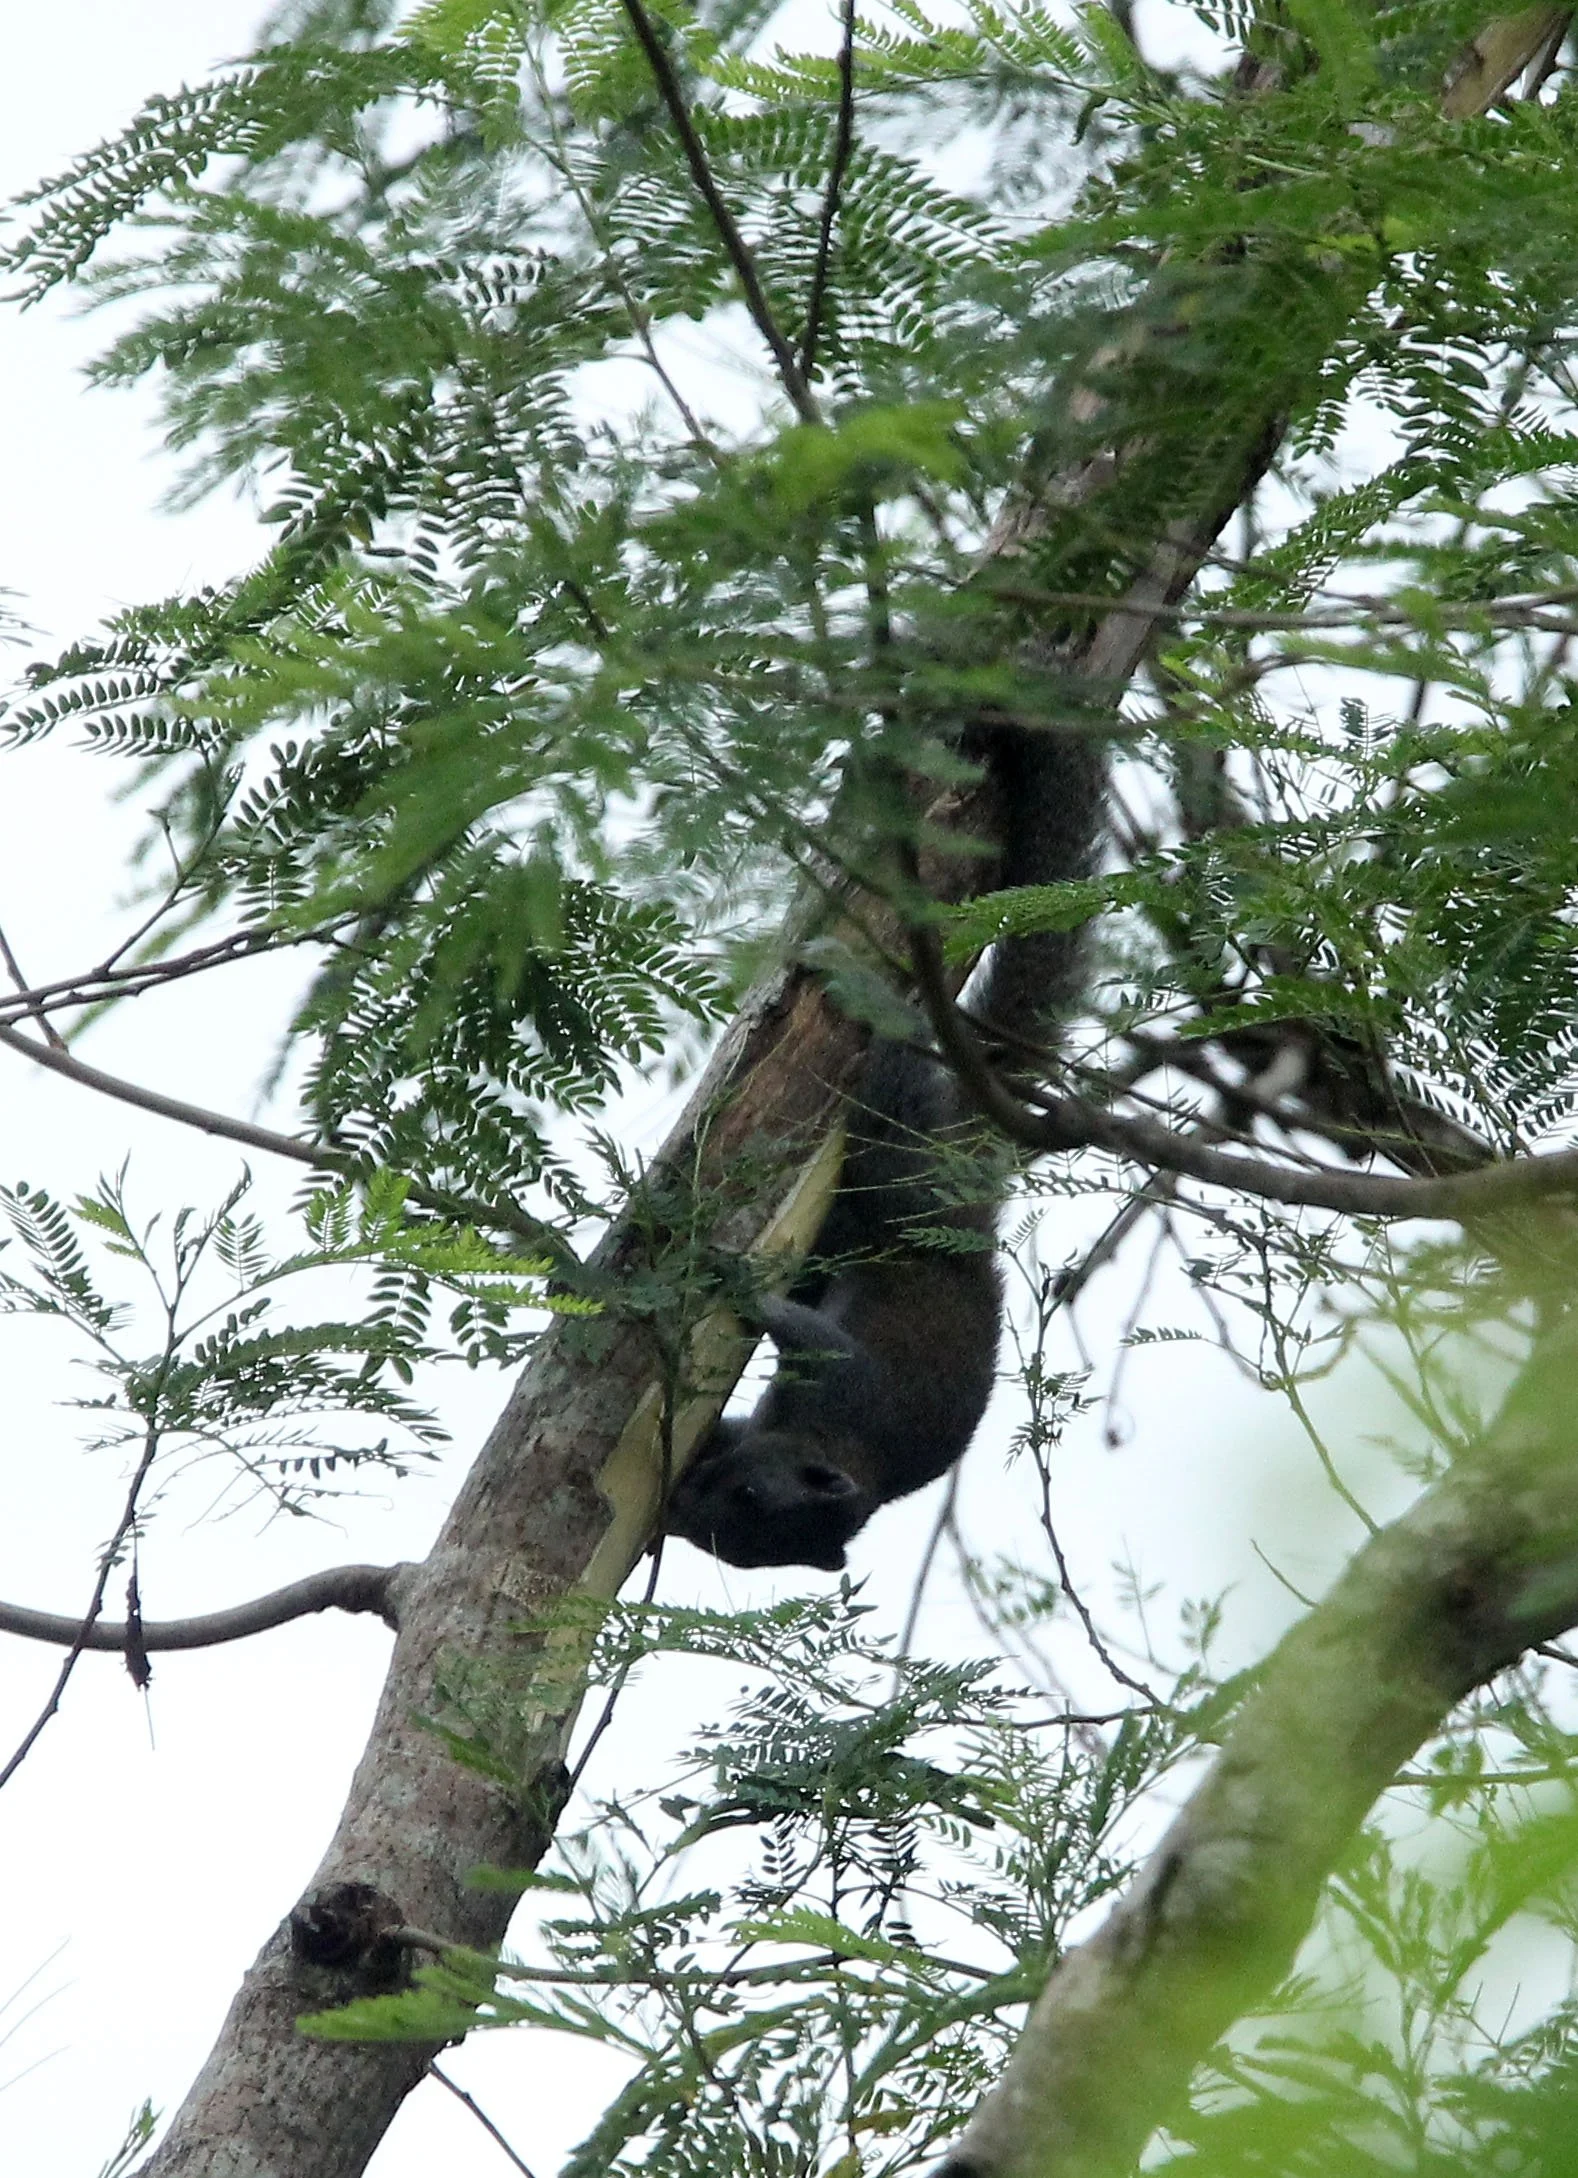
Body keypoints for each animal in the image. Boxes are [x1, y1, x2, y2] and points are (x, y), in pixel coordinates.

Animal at [665, 718, 1105, 1571]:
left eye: (744, 1523)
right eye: (744, 1496)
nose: (679, 1505)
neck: (845, 1451)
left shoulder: (843, 1389)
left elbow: (801, 1334)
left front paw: (733, 1282)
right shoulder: (842, 1385)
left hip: (895, 1177)